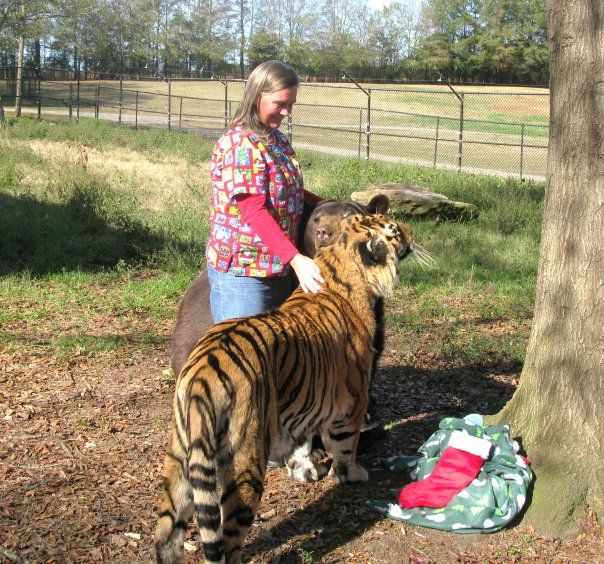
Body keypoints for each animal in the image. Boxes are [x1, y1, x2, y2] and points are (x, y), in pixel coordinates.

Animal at [155, 214, 416, 560]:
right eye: (395, 230)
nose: (414, 232)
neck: (338, 264)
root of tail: (202, 374)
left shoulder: (304, 401)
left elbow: (302, 443)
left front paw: (304, 470)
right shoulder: (352, 401)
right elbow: (346, 447)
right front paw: (351, 474)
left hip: (180, 459)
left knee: (167, 532)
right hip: (244, 461)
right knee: (229, 537)